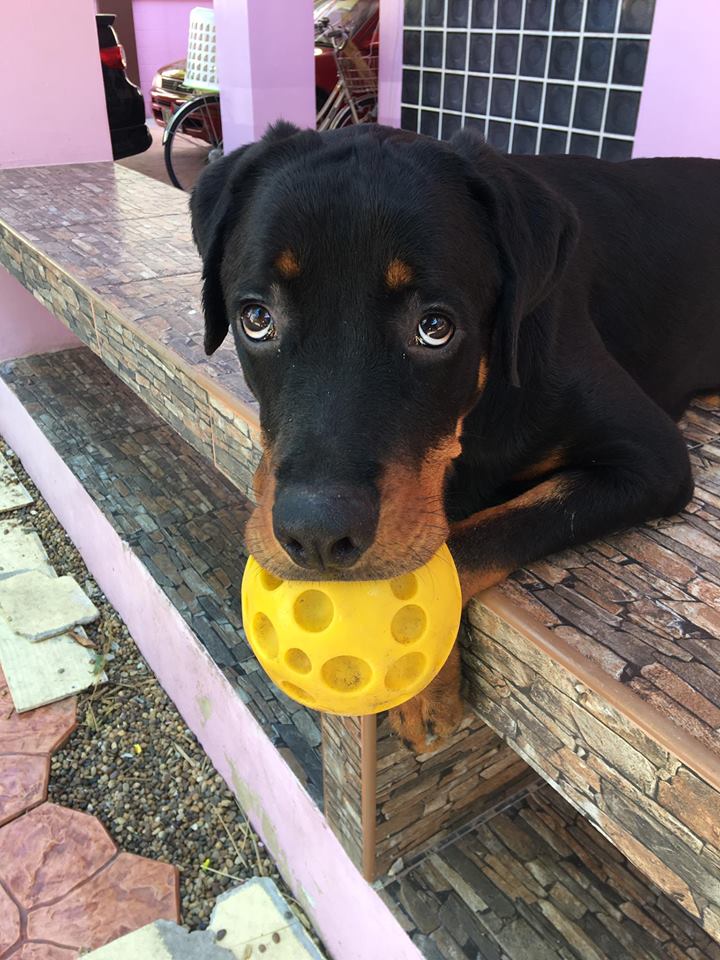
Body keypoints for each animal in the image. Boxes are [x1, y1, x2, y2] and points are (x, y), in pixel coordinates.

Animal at [190, 122, 720, 752]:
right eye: (256, 319)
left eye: (435, 328)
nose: (316, 534)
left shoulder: (652, 457)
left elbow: (475, 541)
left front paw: (422, 688)